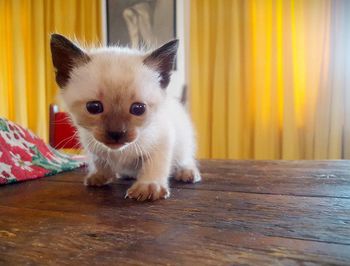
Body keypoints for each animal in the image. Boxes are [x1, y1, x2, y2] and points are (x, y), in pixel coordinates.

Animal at [50, 33, 201, 201]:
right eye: (94, 107)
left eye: (138, 109)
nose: (116, 134)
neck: (120, 152)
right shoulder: (91, 141)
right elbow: (99, 159)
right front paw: (100, 176)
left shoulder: (163, 139)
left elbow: (155, 164)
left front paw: (148, 187)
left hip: (184, 141)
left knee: (185, 158)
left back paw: (187, 173)